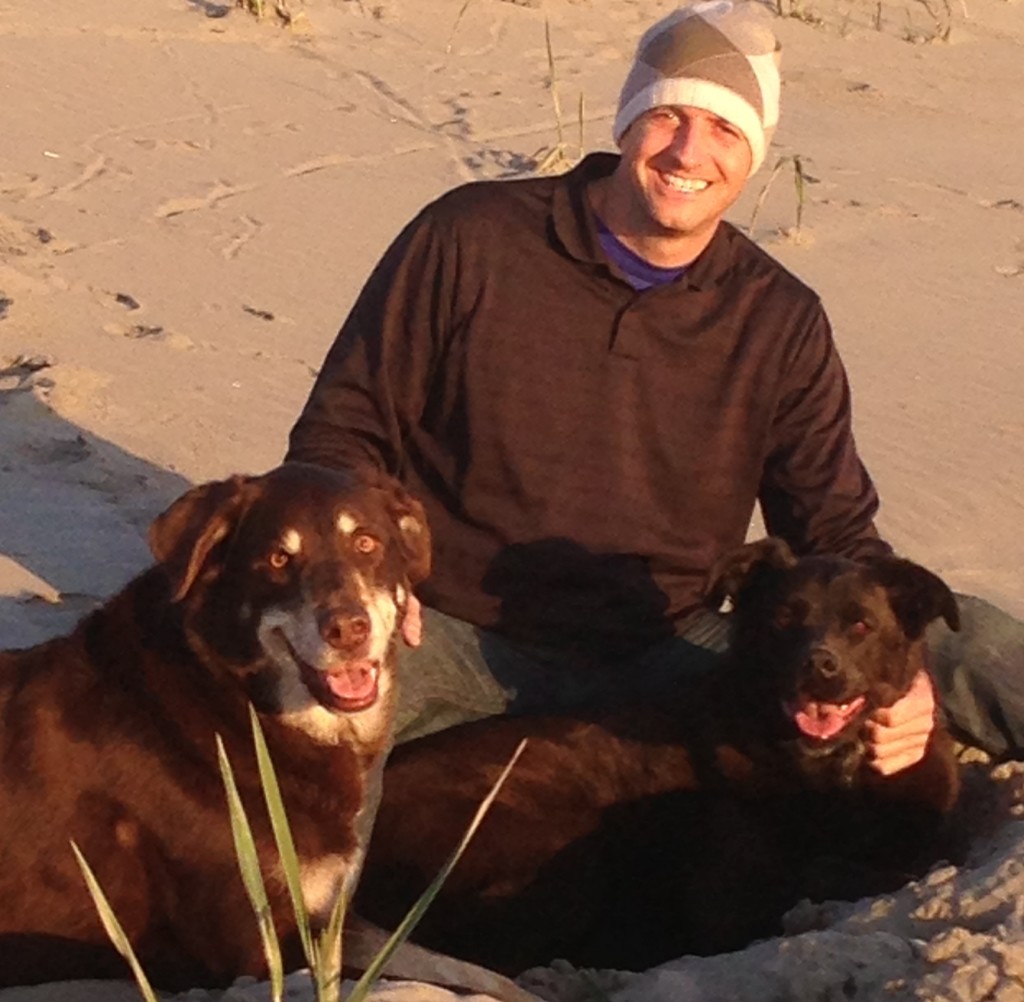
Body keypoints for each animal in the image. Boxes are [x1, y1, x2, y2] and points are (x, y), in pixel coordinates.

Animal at [356, 544, 962, 974]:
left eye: (861, 625)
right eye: (783, 618)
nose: (818, 667)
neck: (827, 771)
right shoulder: (730, 894)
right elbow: (821, 873)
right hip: (561, 850)